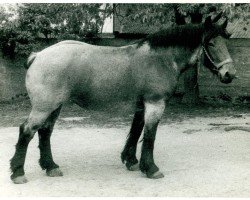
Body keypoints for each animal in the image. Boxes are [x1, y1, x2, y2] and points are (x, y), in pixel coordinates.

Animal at [10, 13, 236, 183]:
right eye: (211, 43)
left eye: (226, 42)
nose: (230, 74)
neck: (161, 58)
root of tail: (38, 55)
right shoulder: (155, 104)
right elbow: (150, 136)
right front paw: (151, 168)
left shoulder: (141, 105)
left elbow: (135, 132)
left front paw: (132, 161)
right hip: (44, 107)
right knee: (27, 131)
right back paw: (18, 173)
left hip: (54, 106)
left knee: (45, 132)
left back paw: (51, 167)